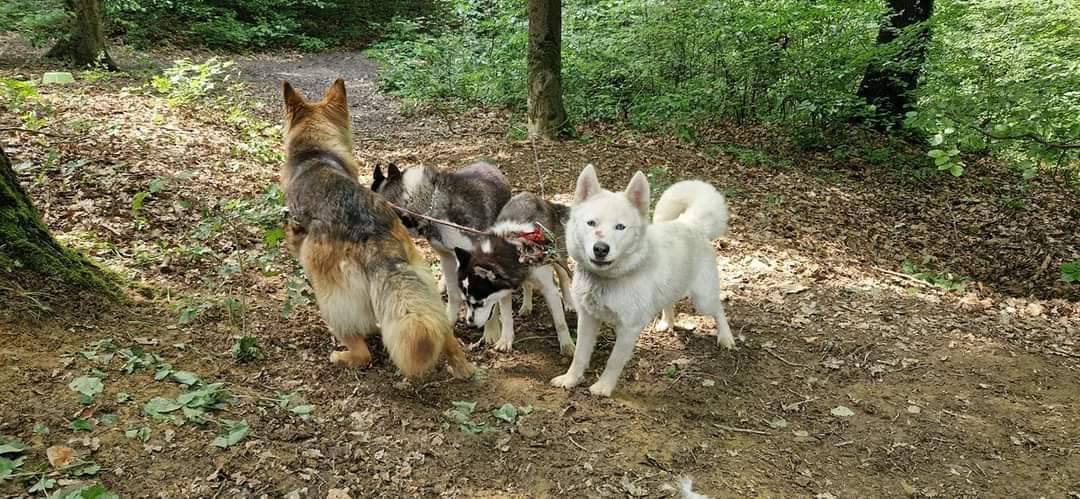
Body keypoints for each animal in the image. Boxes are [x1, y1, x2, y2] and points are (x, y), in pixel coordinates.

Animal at [548, 165, 734, 395]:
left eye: (620, 227)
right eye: (591, 223)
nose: (600, 249)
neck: (607, 280)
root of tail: (691, 223)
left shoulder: (629, 328)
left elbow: (613, 361)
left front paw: (603, 387)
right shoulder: (588, 319)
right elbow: (579, 355)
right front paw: (571, 379)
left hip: (703, 300)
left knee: (718, 309)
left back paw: (726, 337)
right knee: (670, 302)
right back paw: (666, 322)